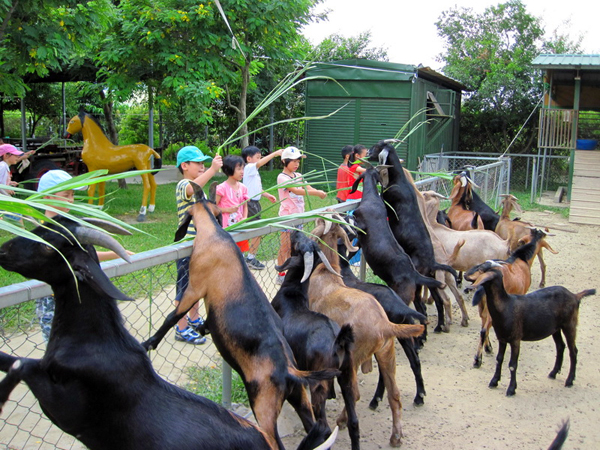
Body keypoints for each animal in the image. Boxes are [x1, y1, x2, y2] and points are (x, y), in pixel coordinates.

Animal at [141, 183, 338, 450]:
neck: (216, 236)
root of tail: (290, 370)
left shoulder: (195, 287)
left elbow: (173, 316)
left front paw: (149, 343)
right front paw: (201, 328)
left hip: (263, 403)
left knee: (274, 440)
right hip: (298, 395)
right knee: (315, 426)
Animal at [274, 232, 358, 450]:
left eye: (299, 244)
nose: (295, 231)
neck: (292, 294)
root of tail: (338, 341)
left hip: (319, 383)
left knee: (324, 427)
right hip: (347, 374)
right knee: (354, 422)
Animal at [338, 244, 432, 406]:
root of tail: (400, 305)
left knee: (385, 369)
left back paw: (376, 399)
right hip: (403, 333)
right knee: (414, 361)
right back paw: (419, 396)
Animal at [368, 141, 458, 334]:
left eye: (377, 146)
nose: (367, 152)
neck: (399, 181)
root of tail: (432, 262)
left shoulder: (387, 198)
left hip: (418, 282)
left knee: (420, 305)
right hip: (431, 279)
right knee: (438, 301)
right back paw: (438, 326)